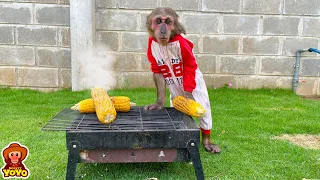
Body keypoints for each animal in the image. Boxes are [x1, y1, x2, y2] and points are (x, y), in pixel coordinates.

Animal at [144, 7, 220, 153]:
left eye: (168, 22)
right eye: (158, 21)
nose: (163, 30)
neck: (167, 42)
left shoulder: (183, 45)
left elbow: (190, 64)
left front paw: (188, 96)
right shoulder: (151, 43)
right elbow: (157, 70)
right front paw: (159, 103)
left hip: (198, 89)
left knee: (205, 112)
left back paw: (206, 139)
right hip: (174, 97)